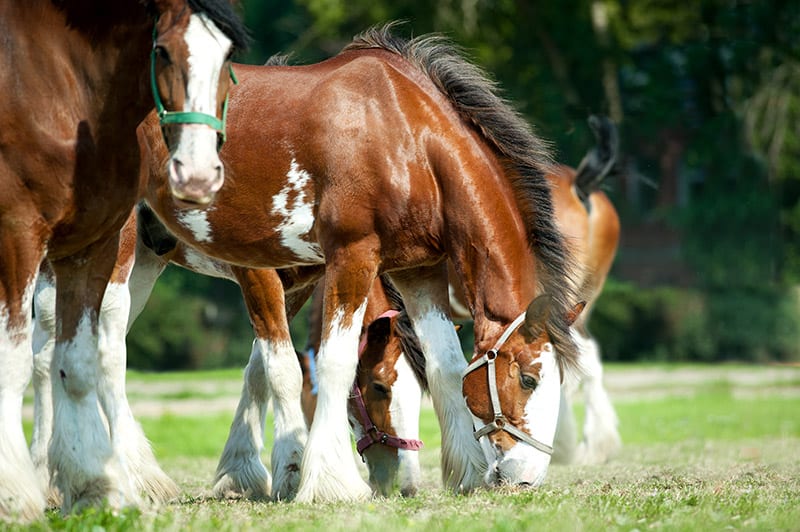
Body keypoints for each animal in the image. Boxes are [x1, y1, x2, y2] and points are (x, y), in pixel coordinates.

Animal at [1, 0, 248, 520]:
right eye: (162, 51)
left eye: (228, 54)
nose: (197, 173)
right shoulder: (18, 237)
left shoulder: (90, 245)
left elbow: (77, 358)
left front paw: (94, 483)